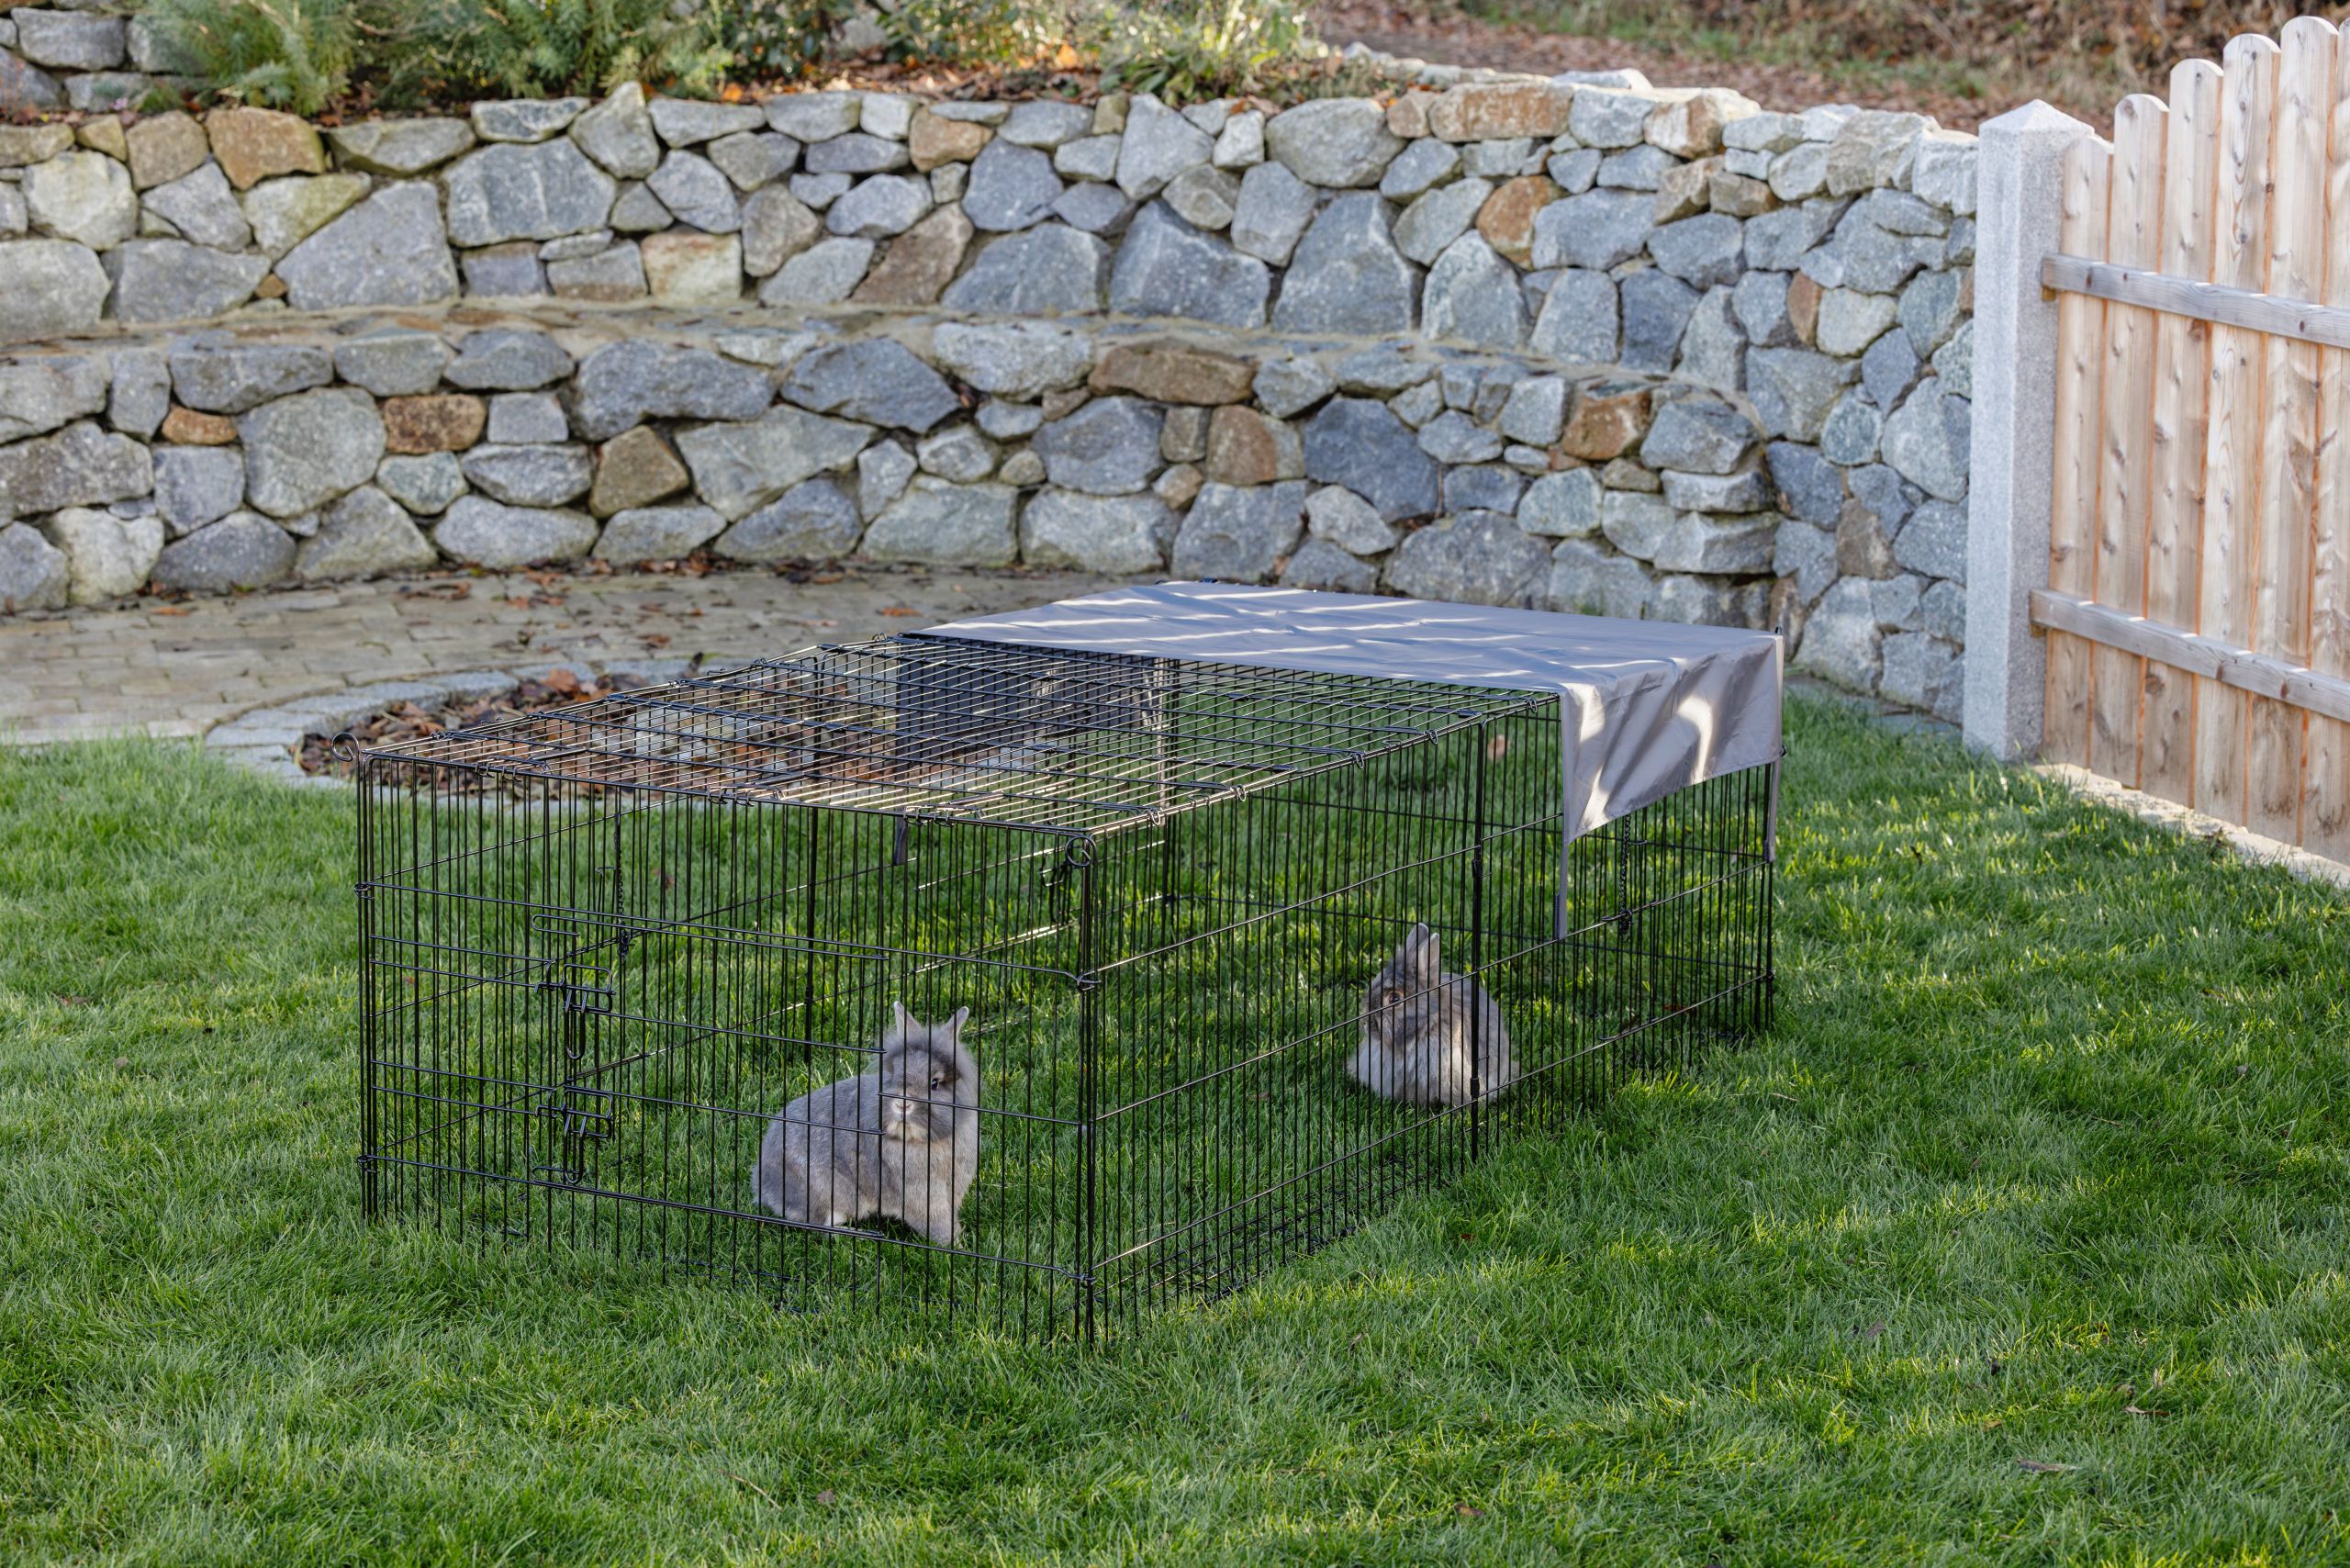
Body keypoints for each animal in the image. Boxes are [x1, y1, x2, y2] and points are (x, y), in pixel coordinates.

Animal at [755, 1003, 981, 1247]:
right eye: (895, 1075)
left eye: (934, 1083)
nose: (902, 1104)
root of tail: (763, 1185)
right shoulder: (921, 1193)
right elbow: (937, 1223)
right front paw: (956, 1246)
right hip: (832, 1194)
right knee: (822, 1227)